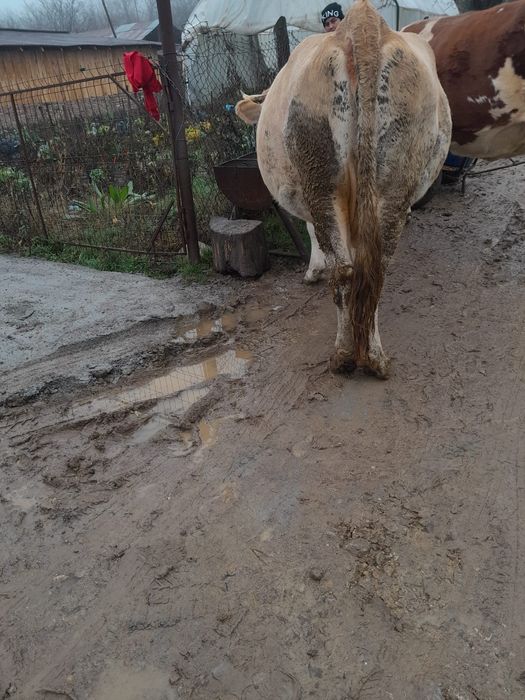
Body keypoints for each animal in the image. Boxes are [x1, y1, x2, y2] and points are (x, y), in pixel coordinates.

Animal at [235, 0, 451, 378]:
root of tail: (362, 24)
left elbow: (312, 233)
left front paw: (312, 270)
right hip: (393, 184)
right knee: (371, 268)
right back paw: (374, 356)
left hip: (320, 177)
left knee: (346, 270)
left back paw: (345, 354)